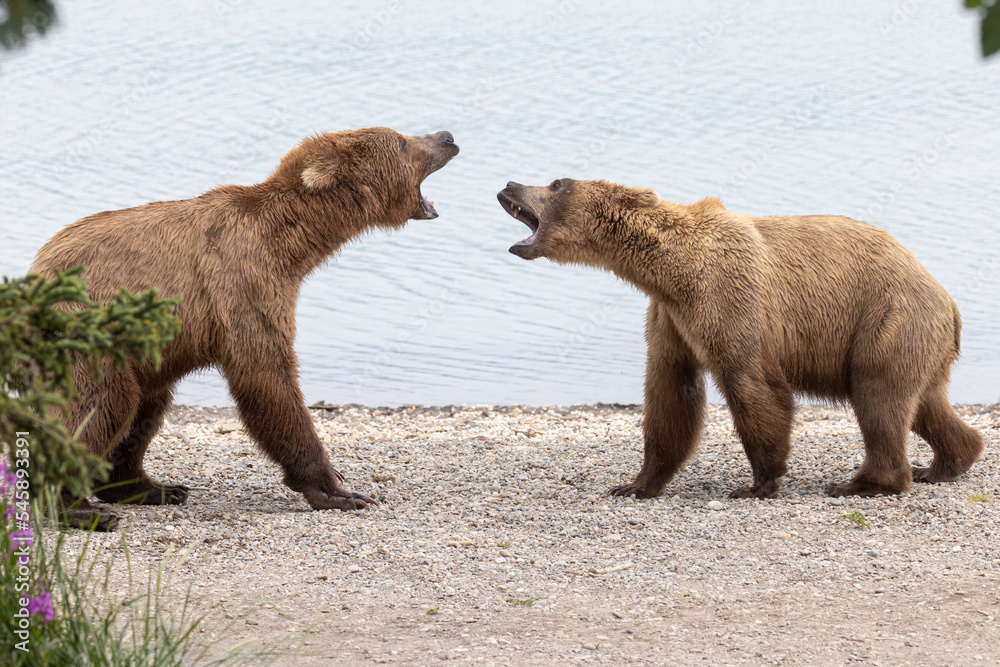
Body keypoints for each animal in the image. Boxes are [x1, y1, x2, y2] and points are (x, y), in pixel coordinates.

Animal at [31, 127, 459, 528]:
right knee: (102, 406)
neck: (293, 245)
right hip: (90, 334)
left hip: (143, 350)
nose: (448, 137)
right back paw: (76, 508)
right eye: (402, 142)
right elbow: (267, 375)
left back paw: (154, 487)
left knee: (145, 406)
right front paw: (338, 490)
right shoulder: (244, 282)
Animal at [497, 178, 983, 499]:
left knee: (878, 397)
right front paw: (635, 483)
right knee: (923, 403)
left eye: (556, 182)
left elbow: (751, 383)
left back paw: (864, 482)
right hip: (915, 338)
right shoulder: (670, 317)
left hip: (886, 319)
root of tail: (948, 300)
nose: (509, 183)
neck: (669, 270)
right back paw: (946, 462)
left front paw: (760, 482)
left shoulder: (727, 296)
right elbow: (669, 393)